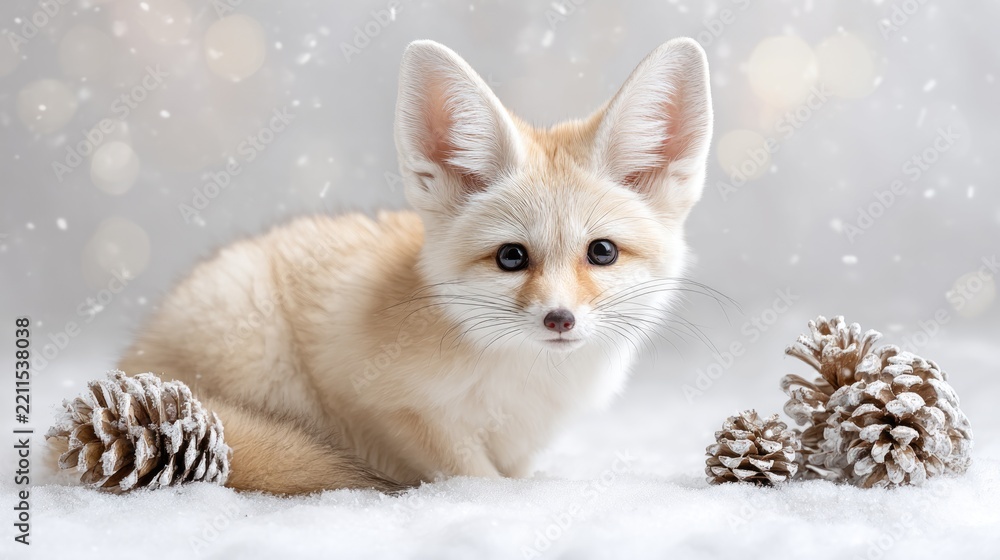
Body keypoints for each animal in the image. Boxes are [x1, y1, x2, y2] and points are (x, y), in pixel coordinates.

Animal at [65, 38, 714, 494]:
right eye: (511, 257)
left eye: (601, 252)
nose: (560, 319)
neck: (524, 384)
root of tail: (130, 371)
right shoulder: (384, 402)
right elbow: (474, 478)